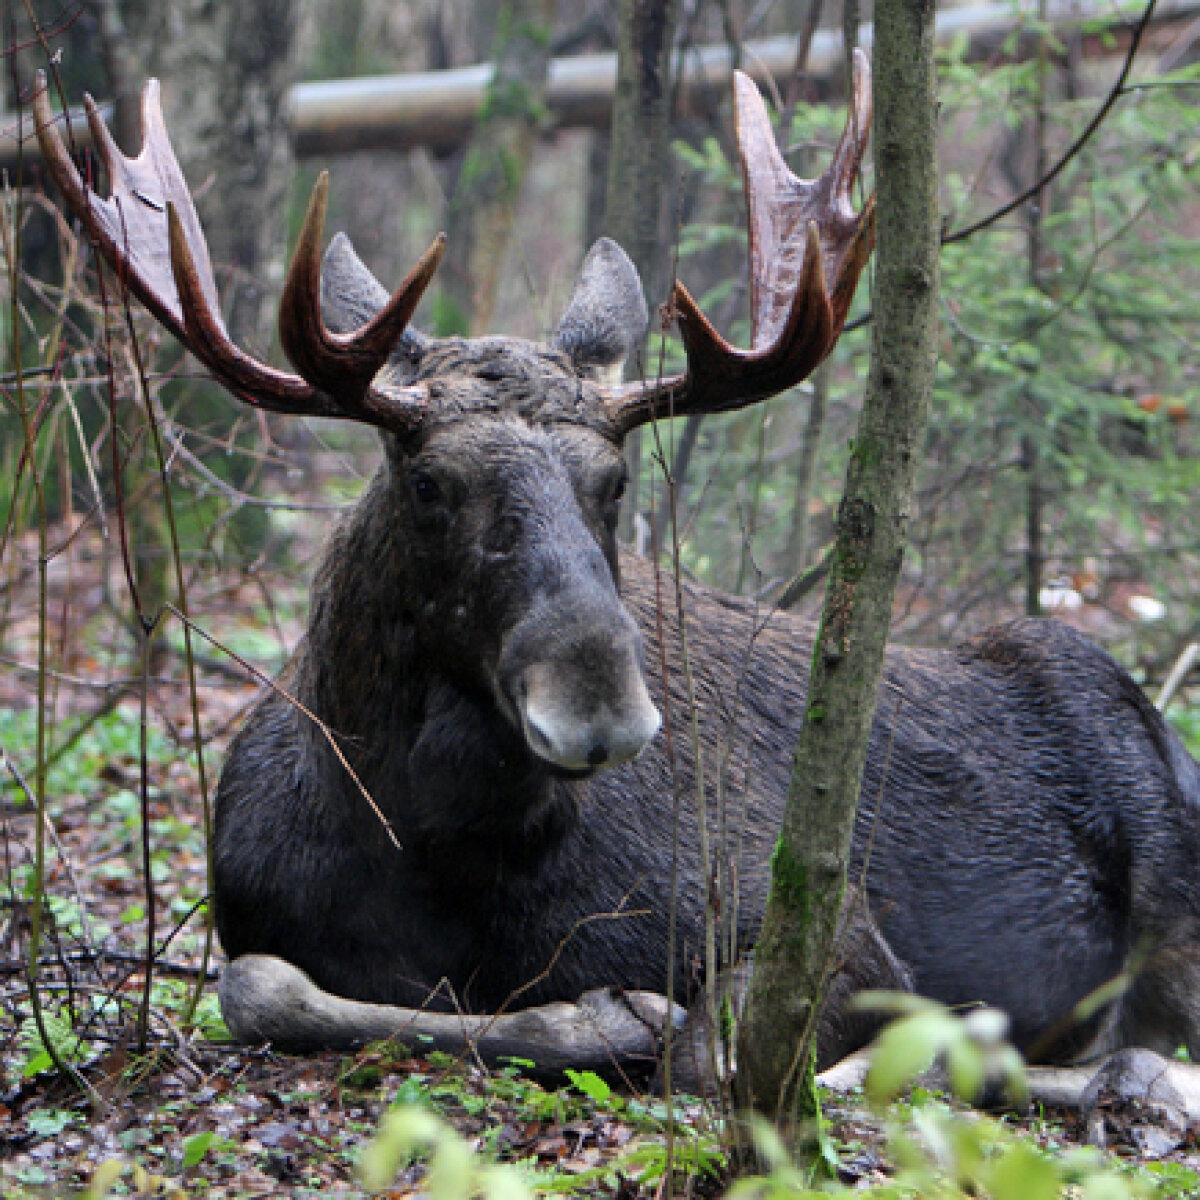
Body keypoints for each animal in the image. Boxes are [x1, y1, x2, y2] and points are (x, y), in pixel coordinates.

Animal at [35, 58, 1200, 1089]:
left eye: (616, 478)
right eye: (427, 482)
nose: (596, 708)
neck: (432, 844)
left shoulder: (833, 927)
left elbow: (705, 1050)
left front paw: (621, 1013)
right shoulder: (258, 921)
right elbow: (265, 987)